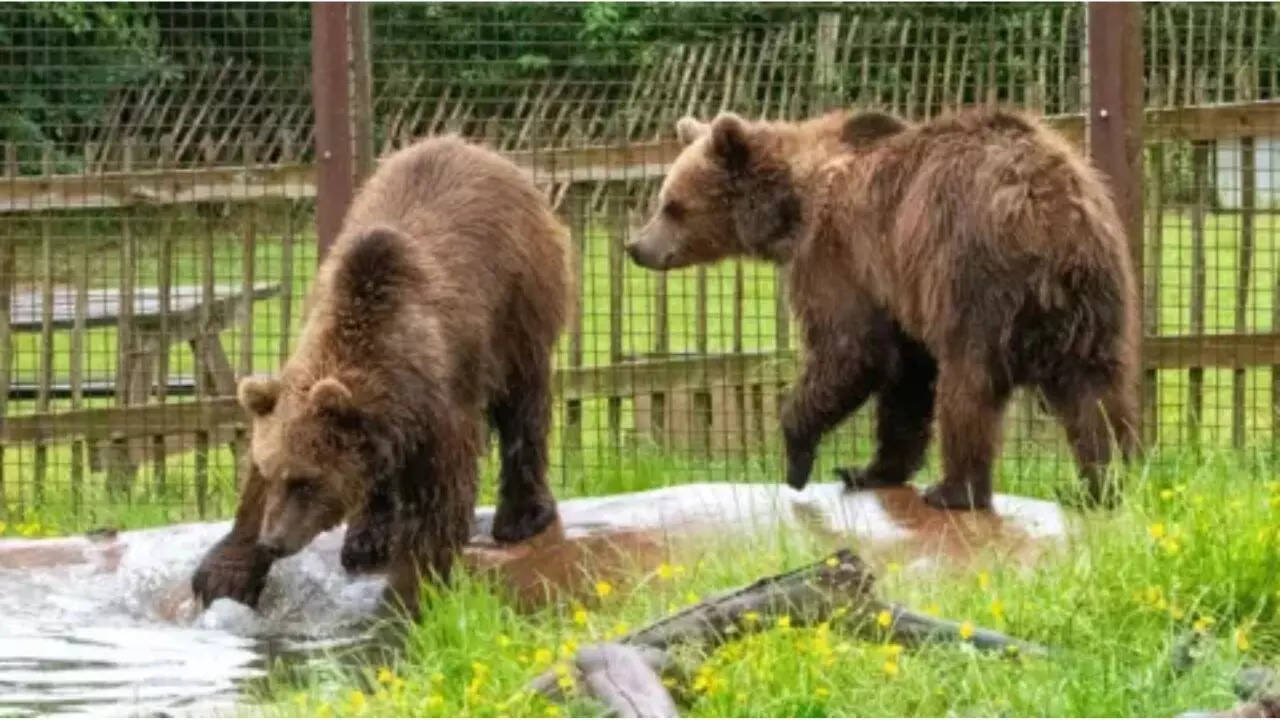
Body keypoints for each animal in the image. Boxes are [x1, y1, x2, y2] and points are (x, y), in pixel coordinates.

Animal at [191, 135, 572, 610]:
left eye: (306, 481)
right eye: (273, 472)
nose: (274, 542)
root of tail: (481, 150)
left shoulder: (441, 408)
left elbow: (439, 502)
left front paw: (411, 591)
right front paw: (224, 573)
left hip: (521, 306)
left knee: (524, 405)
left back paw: (522, 516)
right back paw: (367, 539)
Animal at [627, 107, 1140, 511]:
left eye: (673, 206)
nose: (636, 247)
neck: (793, 205)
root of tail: (1050, 207)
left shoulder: (841, 253)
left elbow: (851, 349)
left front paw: (798, 457)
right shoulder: (896, 289)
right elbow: (905, 379)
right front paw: (869, 469)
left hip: (975, 280)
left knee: (968, 386)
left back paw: (954, 491)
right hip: (1092, 299)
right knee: (1096, 394)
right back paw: (1100, 484)